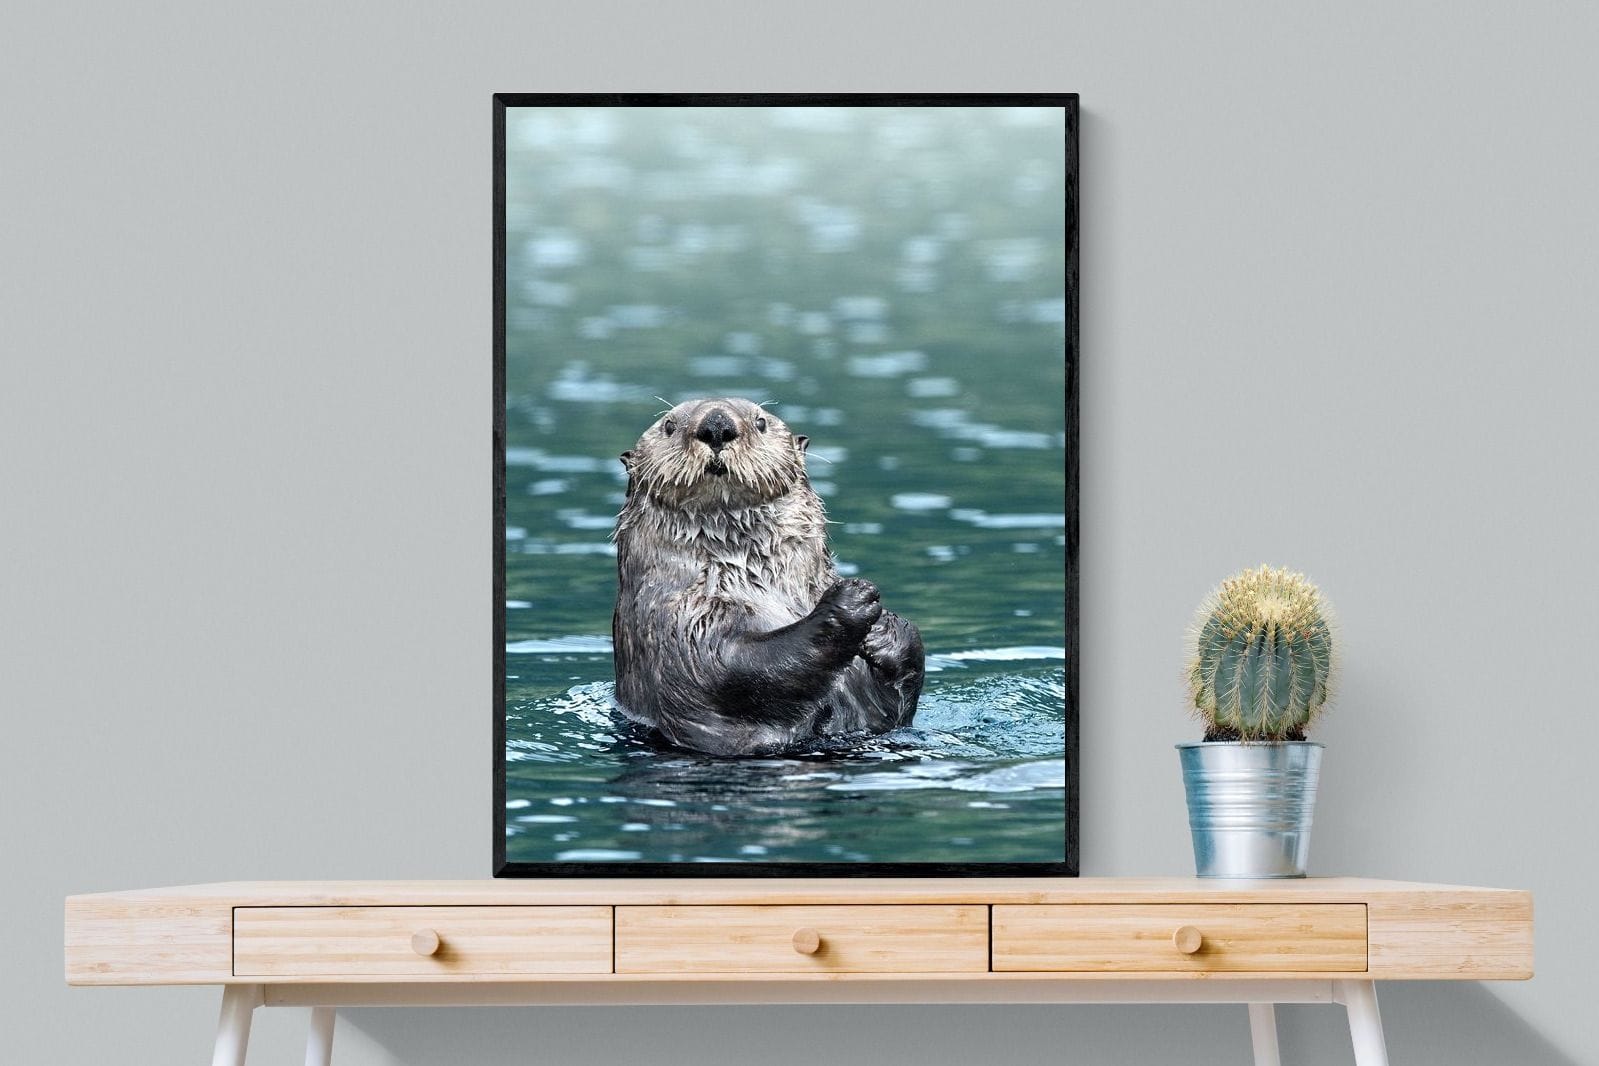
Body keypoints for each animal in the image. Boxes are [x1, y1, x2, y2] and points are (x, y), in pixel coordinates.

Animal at [611, 397, 925, 756]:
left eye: (760, 422)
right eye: (669, 425)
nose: (716, 424)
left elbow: (895, 707)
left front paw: (886, 629)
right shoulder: (678, 622)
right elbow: (734, 667)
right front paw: (850, 600)